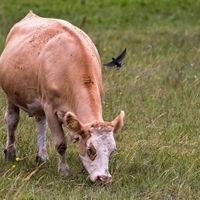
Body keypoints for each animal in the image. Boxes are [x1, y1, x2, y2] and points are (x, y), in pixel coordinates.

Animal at [0, 10, 125, 183]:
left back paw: (42, 156)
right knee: (12, 122)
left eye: (112, 150)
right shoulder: (50, 108)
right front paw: (64, 171)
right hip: (11, 97)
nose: (103, 178)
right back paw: (11, 153)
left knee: (40, 125)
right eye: (90, 149)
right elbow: (61, 144)